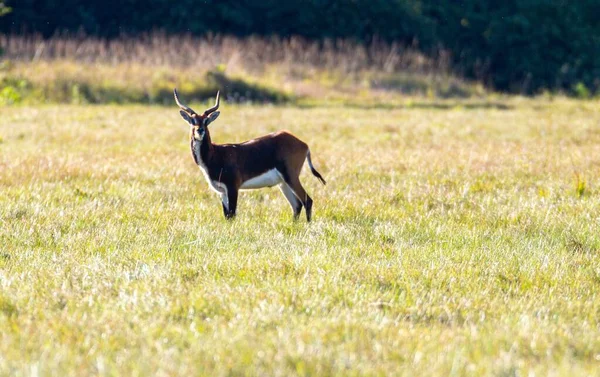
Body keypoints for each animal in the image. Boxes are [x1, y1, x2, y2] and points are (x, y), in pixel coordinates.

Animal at [175, 89, 324, 220]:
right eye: (193, 121)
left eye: (206, 121)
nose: (200, 130)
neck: (215, 155)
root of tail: (304, 144)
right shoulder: (222, 192)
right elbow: (227, 216)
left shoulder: (233, 187)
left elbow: (232, 214)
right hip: (283, 183)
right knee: (296, 205)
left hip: (291, 177)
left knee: (307, 201)